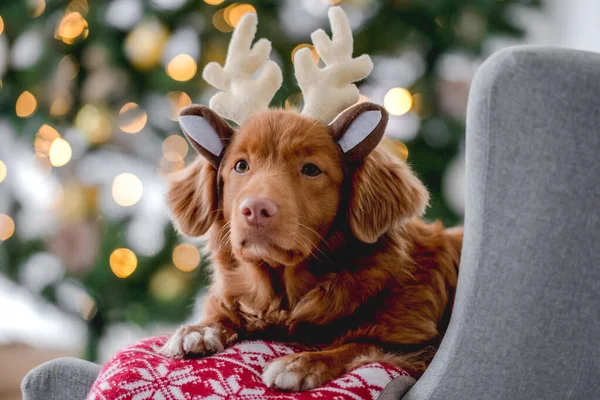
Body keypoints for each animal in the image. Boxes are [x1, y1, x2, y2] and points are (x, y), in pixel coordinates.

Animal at [158, 101, 460, 390]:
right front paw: (200, 329)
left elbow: (358, 344)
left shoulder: (422, 346)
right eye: (241, 166)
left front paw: (301, 363)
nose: (255, 209)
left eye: (311, 169)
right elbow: (224, 311)